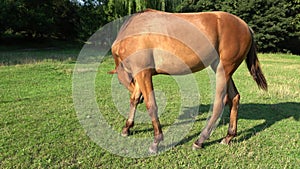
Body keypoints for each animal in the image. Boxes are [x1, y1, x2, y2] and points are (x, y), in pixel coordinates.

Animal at [108, 8, 268, 153]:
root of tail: (245, 26)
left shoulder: (143, 73)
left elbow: (151, 105)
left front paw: (156, 141)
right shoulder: (140, 74)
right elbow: (134, 99)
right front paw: (127, 127)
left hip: (223, 71)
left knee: (220, 103)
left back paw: (200, 141)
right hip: (221, 70)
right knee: (234, 98)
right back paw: (228, 137)